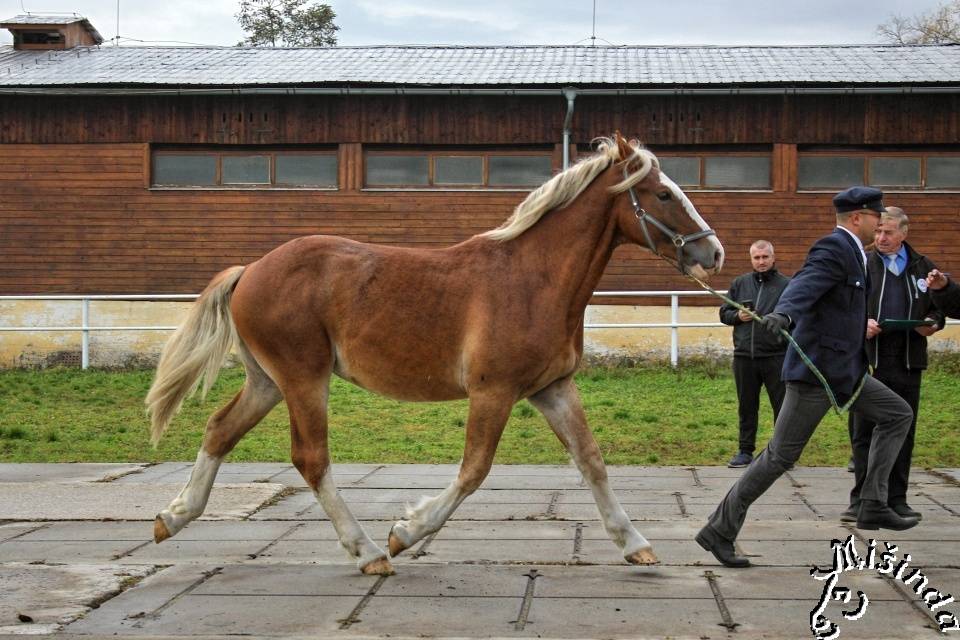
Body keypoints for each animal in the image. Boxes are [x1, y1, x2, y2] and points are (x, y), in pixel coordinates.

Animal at [146, 134, 724, 576]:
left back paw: (173, 517)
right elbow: (474, 470)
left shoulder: (551, 388)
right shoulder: (494, 392)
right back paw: (369, 552)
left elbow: (592, 460)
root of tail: (250, 269)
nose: (712, 252)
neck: (533, 278)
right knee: (311, 459)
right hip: (304, 379)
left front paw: (636, 545)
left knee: (220, 430)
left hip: (268, 381)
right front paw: (406, 532)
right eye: (663, 193)